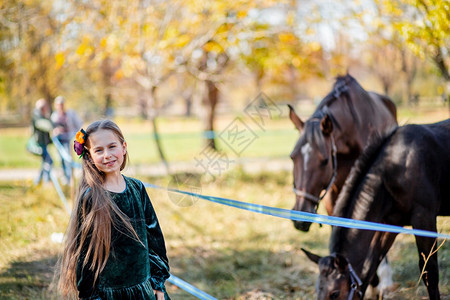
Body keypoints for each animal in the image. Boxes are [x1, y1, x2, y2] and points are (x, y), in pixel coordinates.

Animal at [302, 120, 450, 300]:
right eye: (318, 290)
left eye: (335, 293)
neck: (396, 167)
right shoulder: (390, 225)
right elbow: (370, 266)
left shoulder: (424, 218)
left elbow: (430, 271)